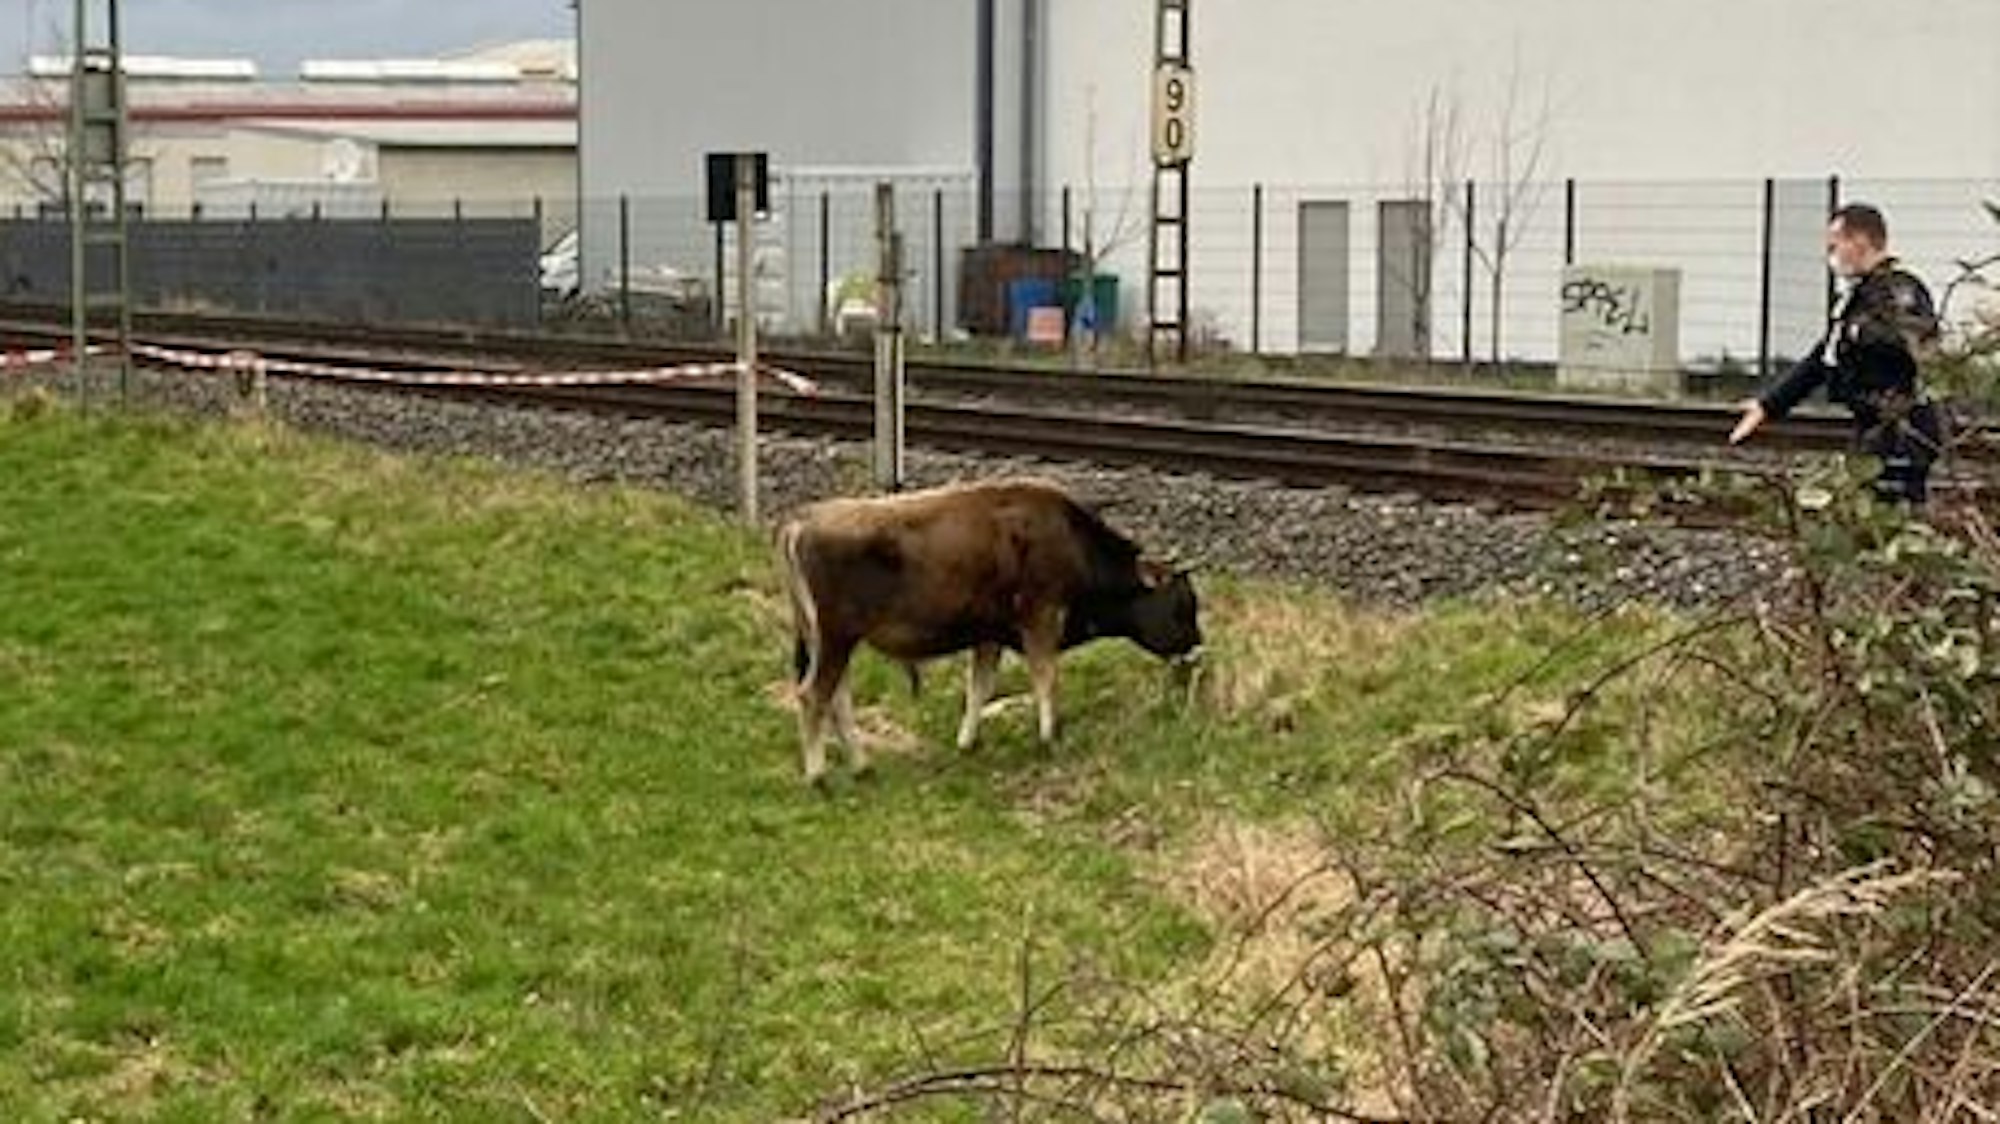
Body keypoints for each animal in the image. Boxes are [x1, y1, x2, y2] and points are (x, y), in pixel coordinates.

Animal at [775, 477, 1203, 784]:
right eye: (1183, 604)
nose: (1198, 649)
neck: (1070, 542)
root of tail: (801, 522)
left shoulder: (989, 635)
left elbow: (979, 685)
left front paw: (968, 742)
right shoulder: (1040, 617)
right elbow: (1045, 677)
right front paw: (1049, 737)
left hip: (828, 641)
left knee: (836, 696)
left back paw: (862, 767)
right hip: (836, 637)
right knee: (814, 695)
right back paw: (818, 775)